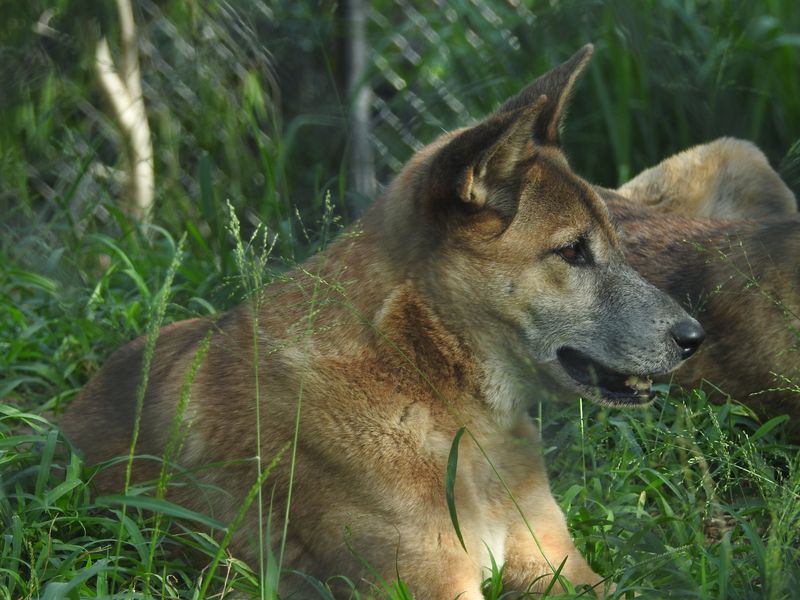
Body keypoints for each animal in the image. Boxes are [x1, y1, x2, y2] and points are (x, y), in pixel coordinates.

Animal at [60, 45, 706, 598]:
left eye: (614, 244)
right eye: (572, 251)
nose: (695, 338)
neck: (428, 389)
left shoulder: (559, 565)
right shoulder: (430, 584)